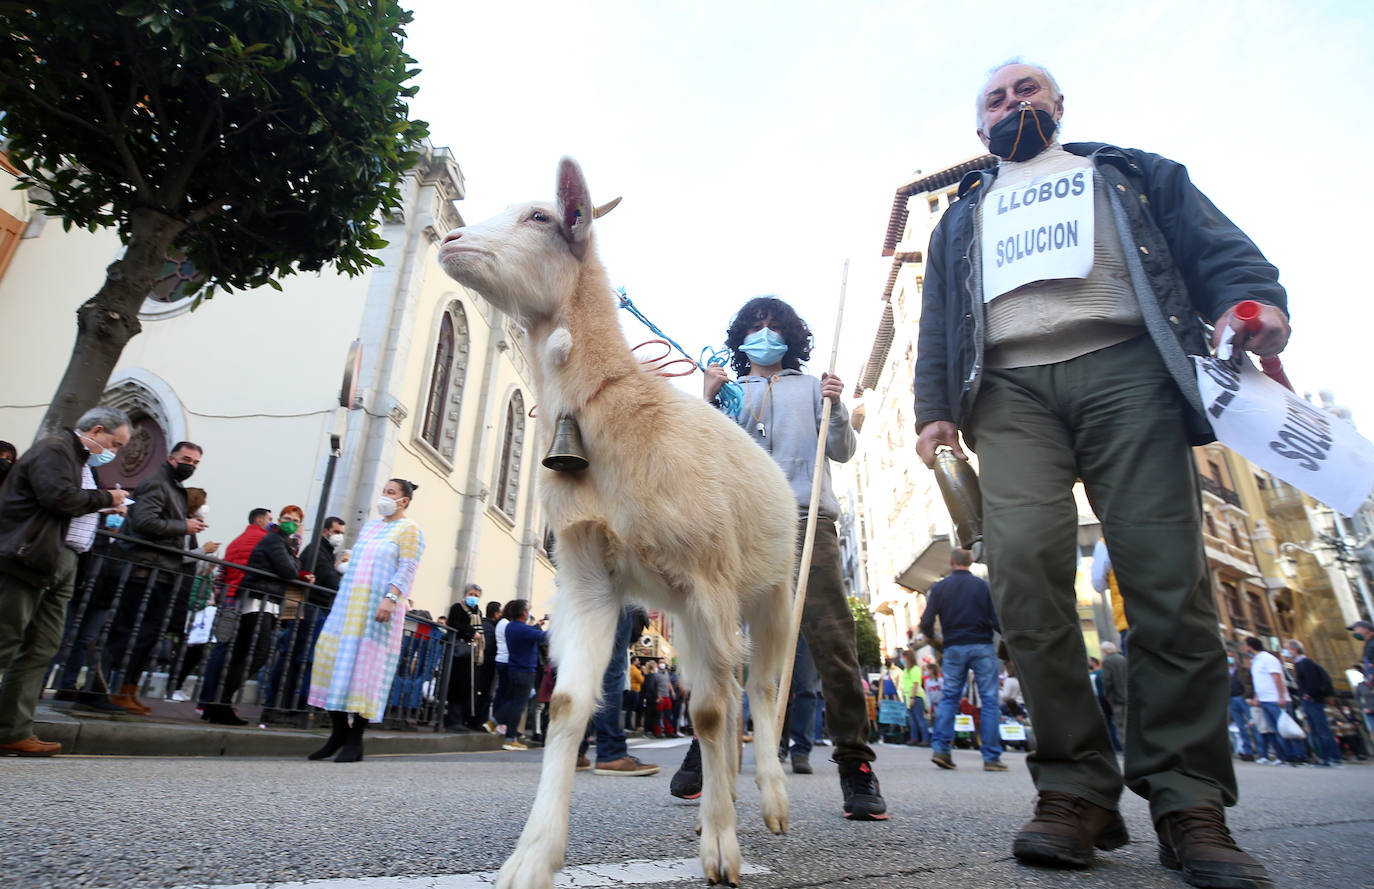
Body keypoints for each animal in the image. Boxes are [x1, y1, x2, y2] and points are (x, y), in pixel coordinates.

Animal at [439, 156, 796, 884]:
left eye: (540, 217)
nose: (451, 241)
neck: (610, 407)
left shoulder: (707, 576)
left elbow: (711, 711)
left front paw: (722, 847)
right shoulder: (589, 579)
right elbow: (569, 704)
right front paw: (533, 855)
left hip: (767, 592)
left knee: (761, 690)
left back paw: (769, 798)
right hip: (689, 613)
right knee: (727, 690)